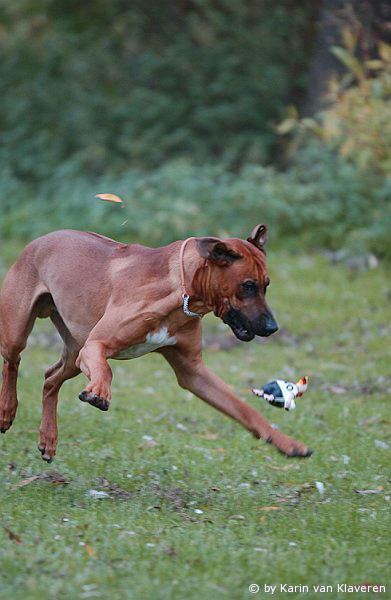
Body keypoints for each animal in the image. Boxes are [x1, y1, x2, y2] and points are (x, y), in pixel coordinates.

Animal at [0, 227, 312, 462]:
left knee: (50, 379)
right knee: (13, 362)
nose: (272, 328)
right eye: (247, 286)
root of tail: (40, 239)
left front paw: (287, 443)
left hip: (75, 349)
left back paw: (48, 438)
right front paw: (99, 391)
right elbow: (106, 369)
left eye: (266, 285)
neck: (181, 291)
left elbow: (244, 409)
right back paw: (7, 409)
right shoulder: (96, 346)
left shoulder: (193, 372)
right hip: (21, 332)